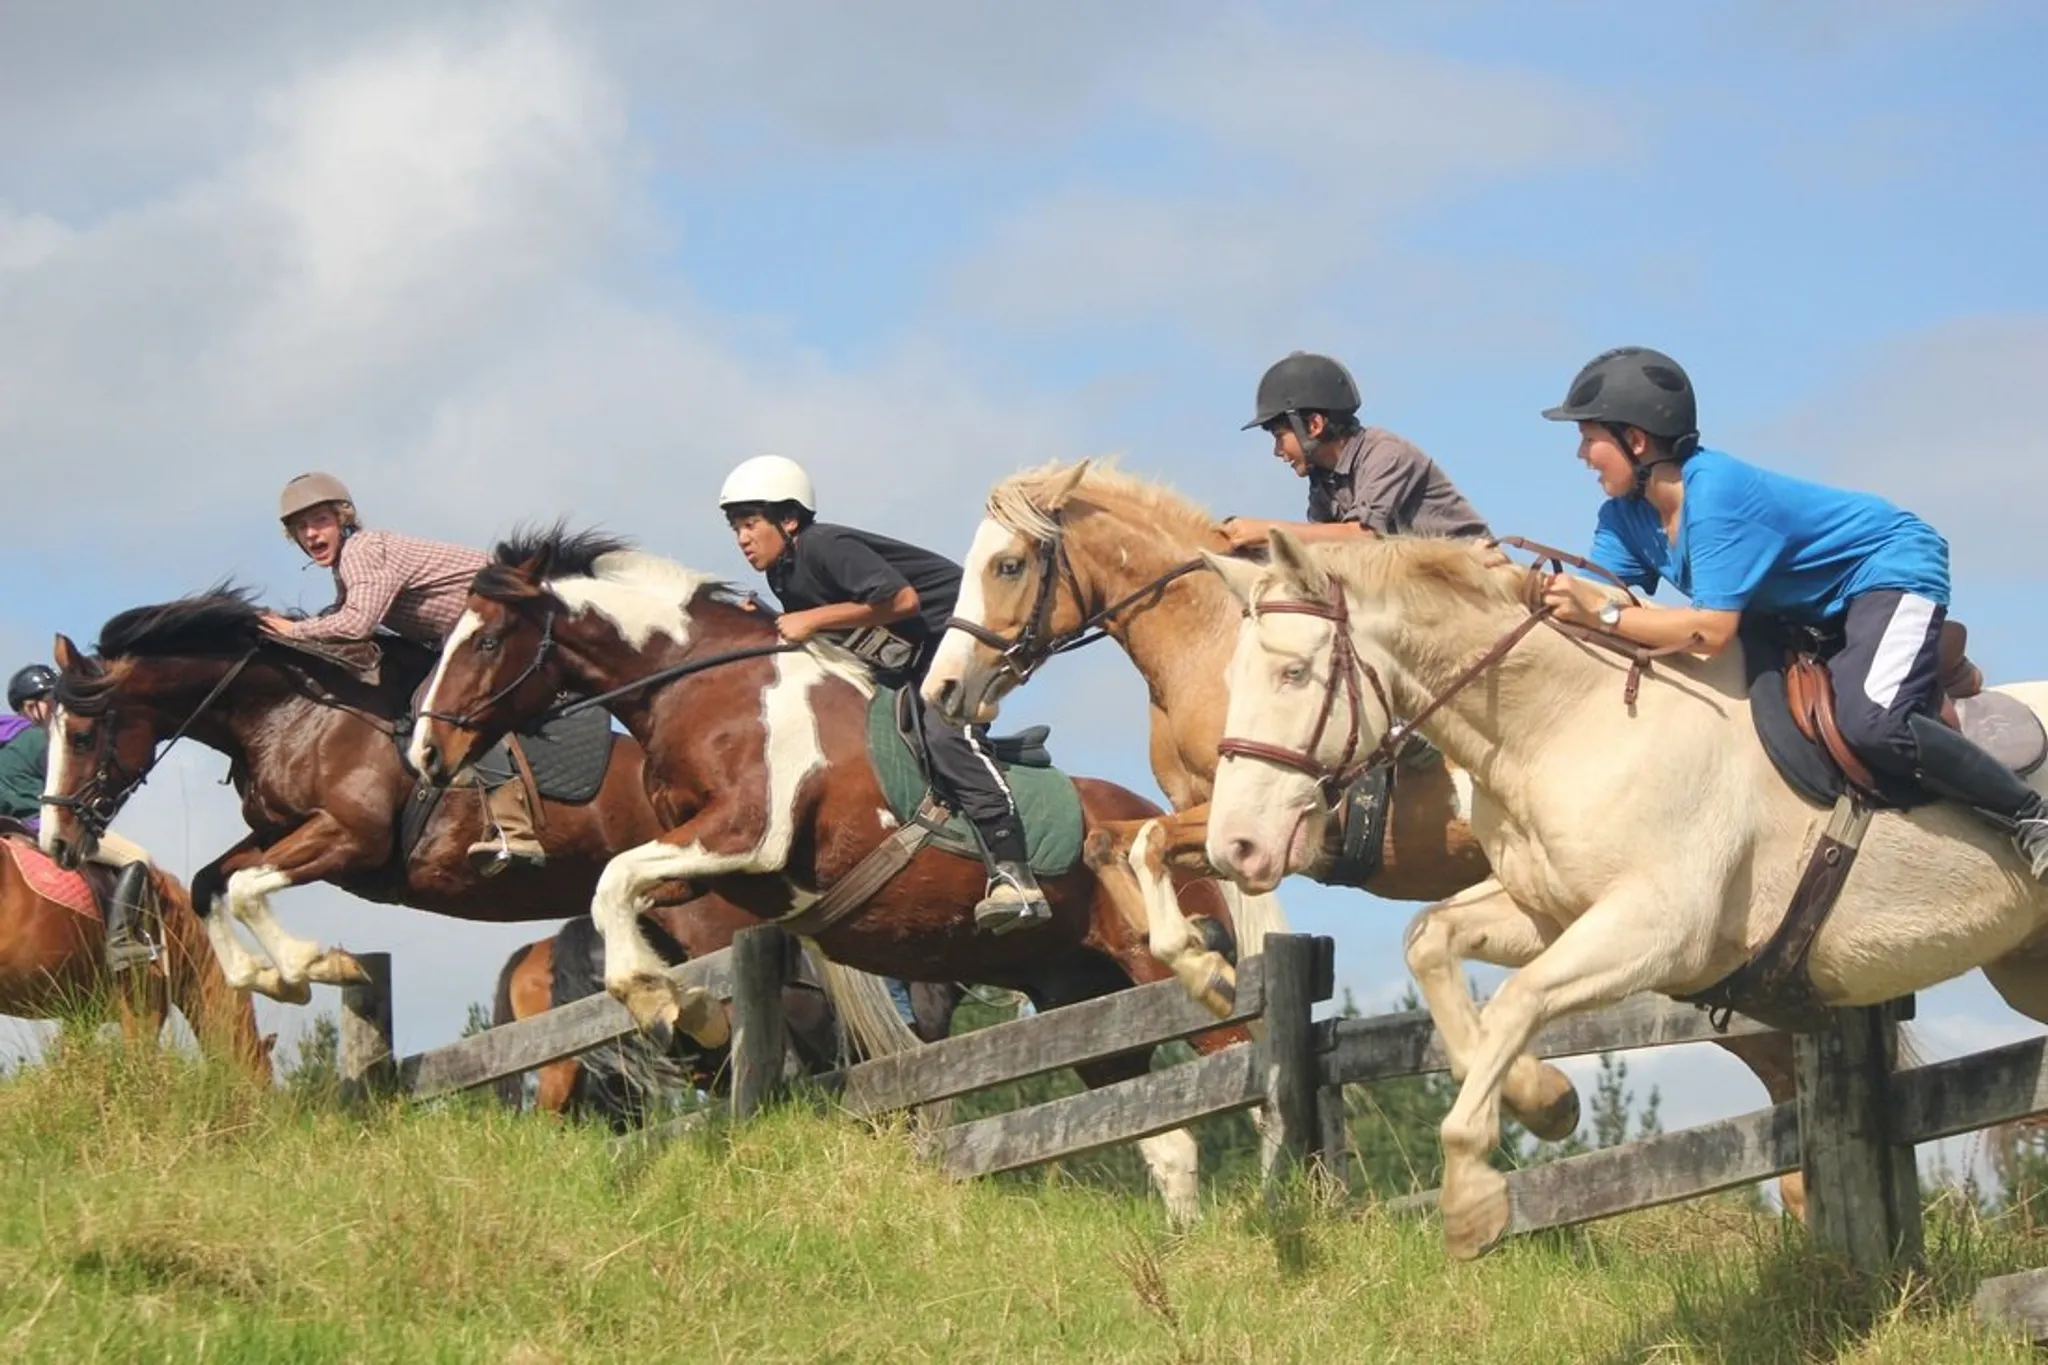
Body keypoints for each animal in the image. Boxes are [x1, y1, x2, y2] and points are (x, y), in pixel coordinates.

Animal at [38, 590, 926, 1065]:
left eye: (79, 734)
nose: (55, 842)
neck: (292, 708)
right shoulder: (289, 830)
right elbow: (211, 882)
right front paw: (271, 975)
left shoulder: (348, 837)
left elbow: (250, 887)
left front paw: (314, 965)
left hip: (710, 905)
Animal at [921, 460, 1805, 1180]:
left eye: (1007, 564)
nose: (942, 689)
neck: (1208, 638)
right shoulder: (1221, 821)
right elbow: (1124, 847)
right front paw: (1196, 959)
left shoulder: (1286, 826)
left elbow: (1143, 846)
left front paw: (1207, 966)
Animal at [1201, 528, 2048, 1258]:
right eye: (1229, 680)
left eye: (1294, 673)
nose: (1231, 848)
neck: (1569, 722)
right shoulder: (1550, 913)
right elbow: (1433, 944)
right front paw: (1543, 1098)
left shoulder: (1661, 931)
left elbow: (1518, 1000)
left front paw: (1472, 1195)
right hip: (2023, 969)